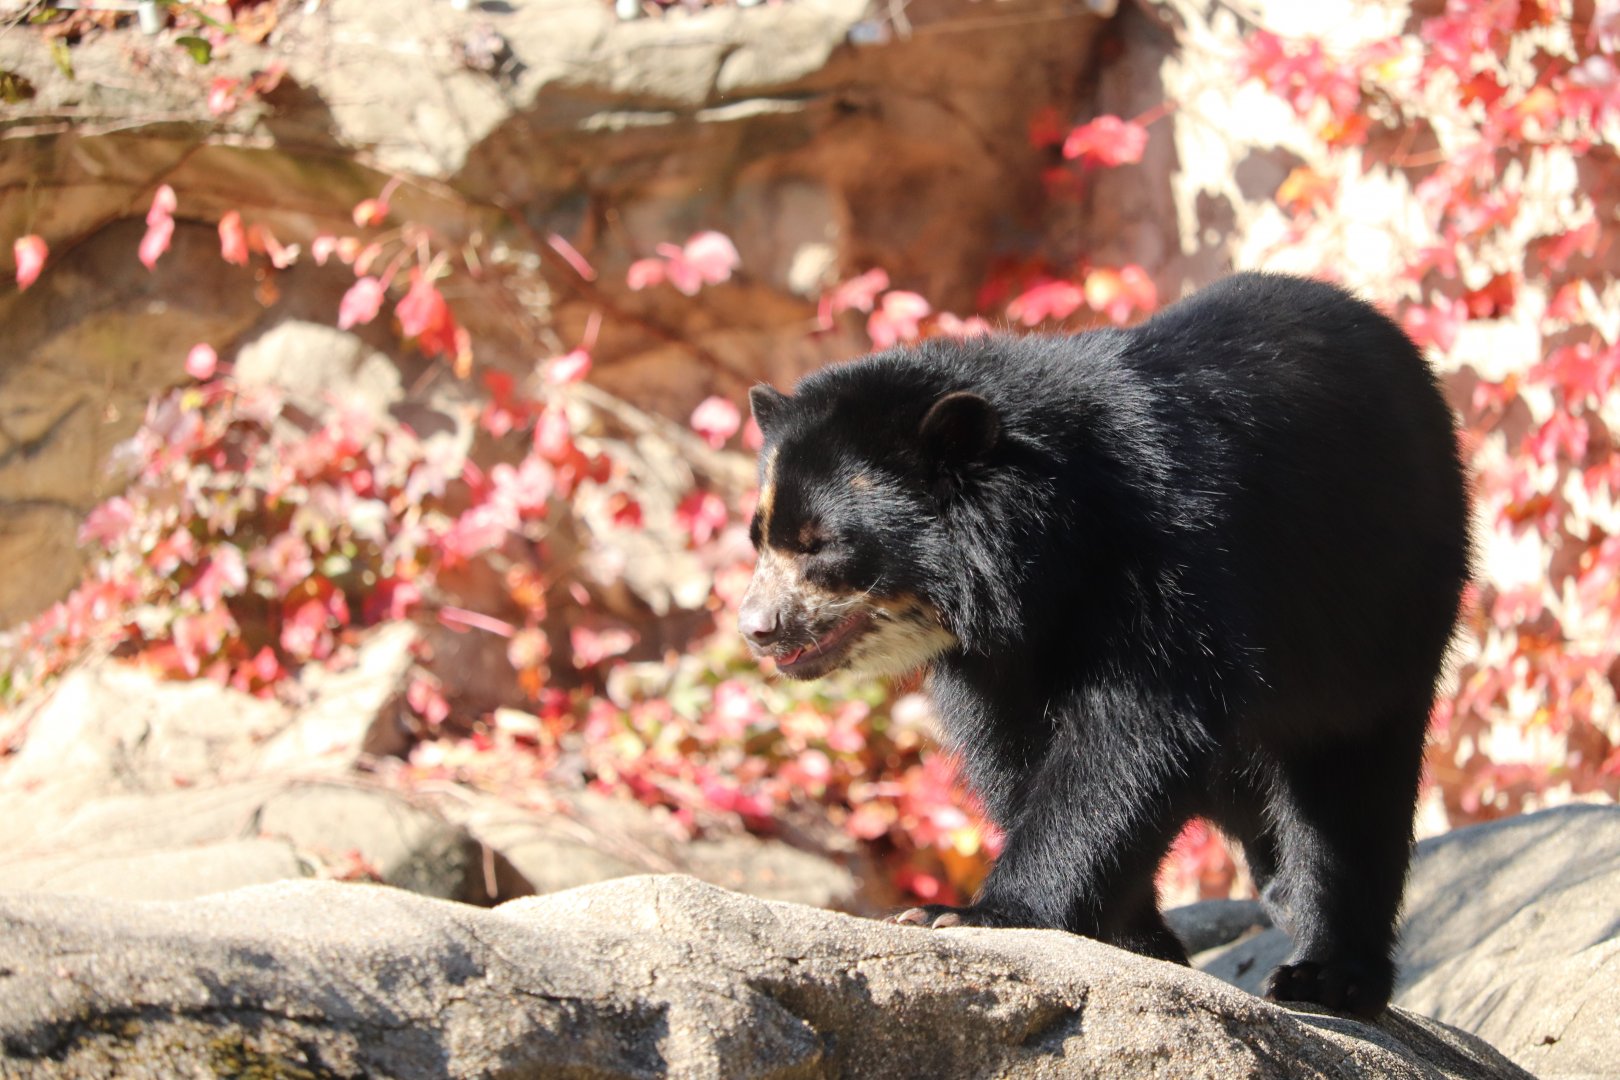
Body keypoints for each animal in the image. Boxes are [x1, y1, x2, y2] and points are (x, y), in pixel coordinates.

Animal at [736, 272, 1472, 1018]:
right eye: (760, 536)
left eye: (820, 545)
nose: (757, 628)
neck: (1046, 555)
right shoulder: (996, 655)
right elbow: (1011, 750)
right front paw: (1138, 939)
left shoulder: (1169, 553)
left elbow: (1134, 732)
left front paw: (966, 914)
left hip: (1378, 598)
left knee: (1351, 783)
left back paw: (1328, 974)